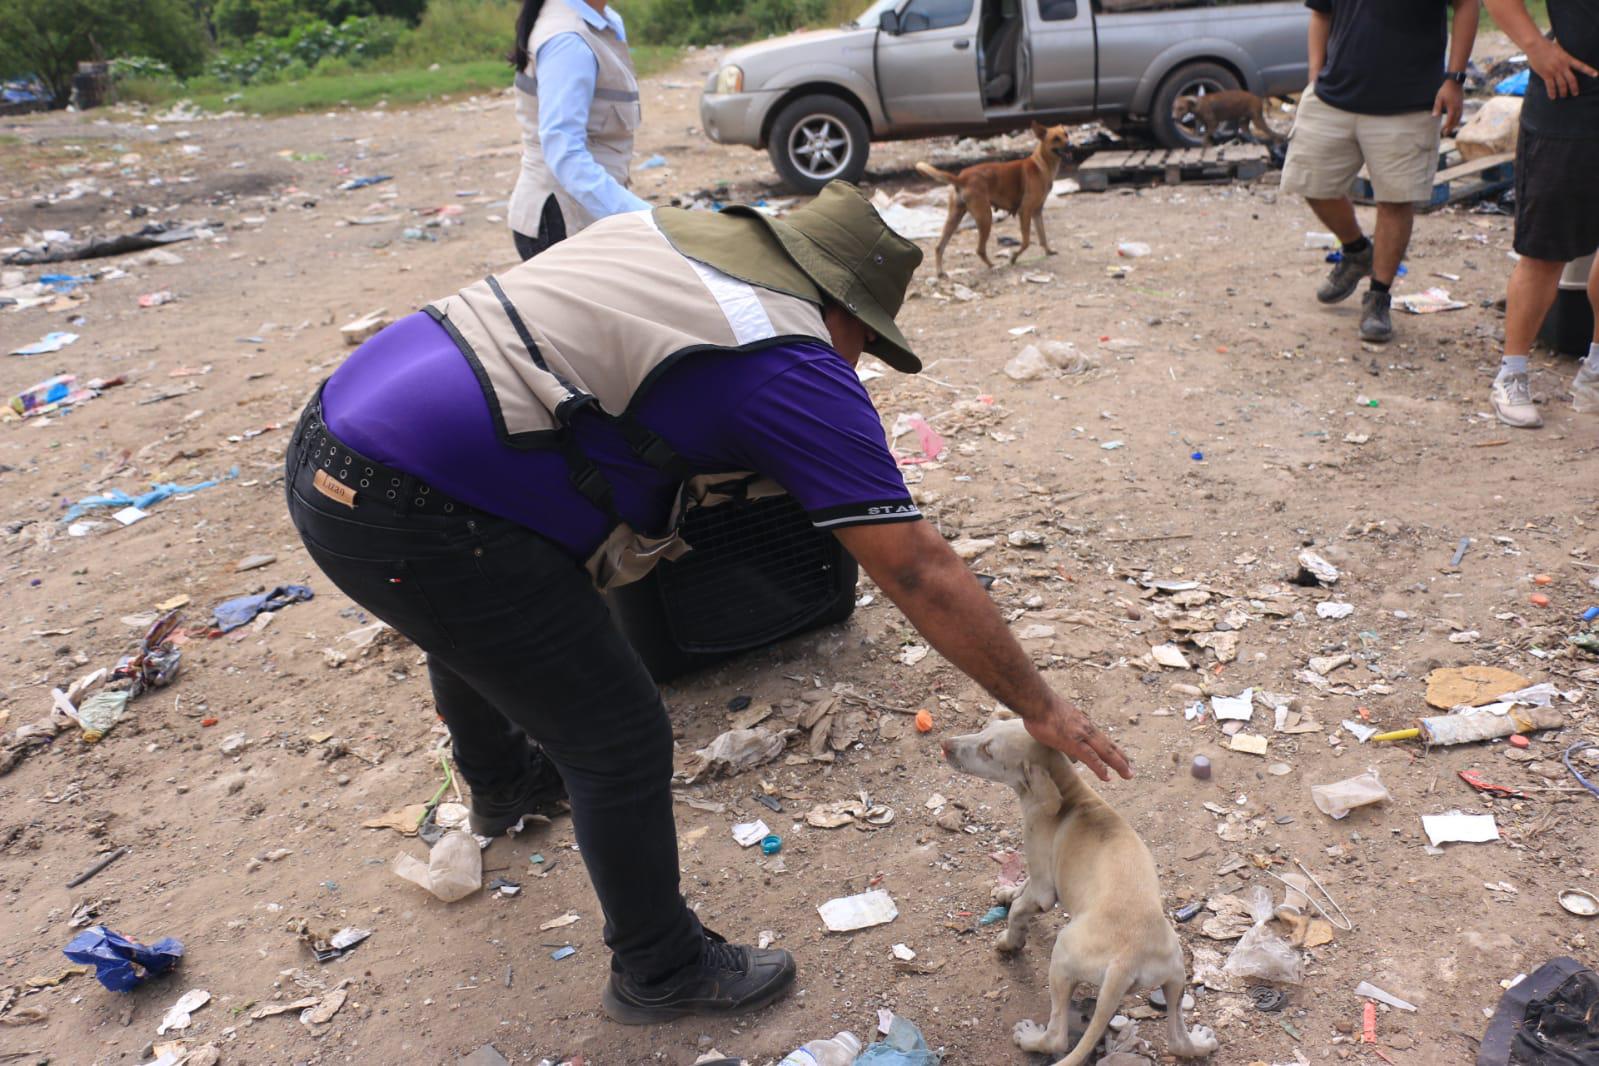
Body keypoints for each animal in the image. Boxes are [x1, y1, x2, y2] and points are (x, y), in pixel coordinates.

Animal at [914, 121, 1074, 279]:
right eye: (1056, 139)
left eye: (1066, 134)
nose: (1072, 146)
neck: (1041, 164)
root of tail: (961, 178)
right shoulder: (1025, 211)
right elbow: (1026, 242)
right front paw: (1013, 257)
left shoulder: (1037, 212)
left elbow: (1043, 236)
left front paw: (1048, 251)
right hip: (986, 217)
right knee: (979, 249)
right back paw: (992, 266)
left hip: (954, 218)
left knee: (939, 246)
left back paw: (940, 272)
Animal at [940, 715, 1215, 1066]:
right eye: (986, 727)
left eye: (988, 749)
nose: (945, 745)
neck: (1069, 794)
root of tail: (1126, 960)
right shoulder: (1041, 874)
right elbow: (1021, 890)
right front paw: (1007, 892)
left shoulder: (1043, 887)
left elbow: (1020, 910)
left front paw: (1009, 941)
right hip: (1176, 975)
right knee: (1178, 1039)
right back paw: (1201, 1042)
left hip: (1063, 955)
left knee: (1056, 1037)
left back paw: (1030, 1037)